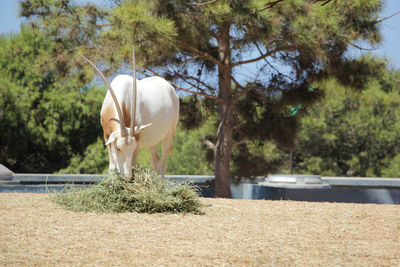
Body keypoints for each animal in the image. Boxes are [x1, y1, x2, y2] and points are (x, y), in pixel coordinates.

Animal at [81, 48, 180, 178]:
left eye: (132, 149)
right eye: (118, 148)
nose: (127, 177)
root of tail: (170, 88)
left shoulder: (137, 139)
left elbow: (134, 165)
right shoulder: (106, 136)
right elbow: (112, 167)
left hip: (170, 133)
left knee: (163, 162)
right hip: (151, 141)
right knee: (156, 160)